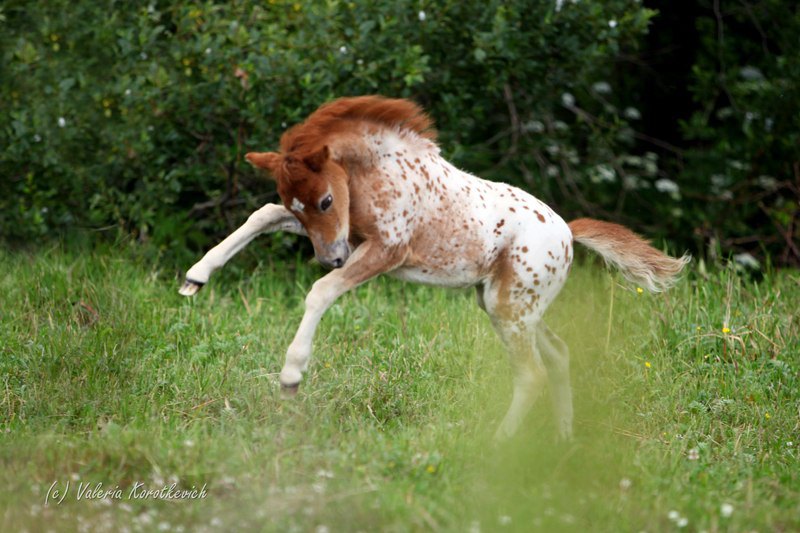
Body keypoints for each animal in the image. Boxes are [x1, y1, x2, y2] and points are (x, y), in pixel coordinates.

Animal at [180, 95, 688, 440]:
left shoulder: (385, 249)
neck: (377, 173)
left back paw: (500, 444)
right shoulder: (353, 236)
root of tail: (567, 232)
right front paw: (194, 279)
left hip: (510, 309)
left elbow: (321, 291)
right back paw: (563, 439)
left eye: (325, 200)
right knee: (559, 354)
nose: (330, 258)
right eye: (297, 206)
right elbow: (262, 215)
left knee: (532, 374)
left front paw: (290, 377)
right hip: (505, 304)